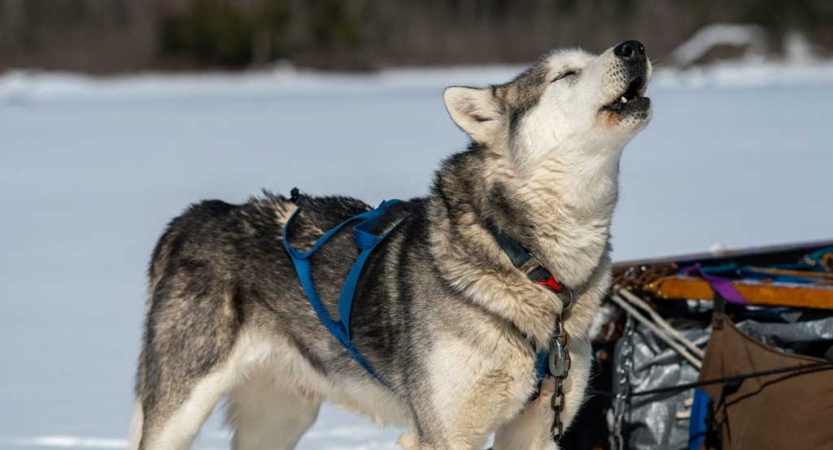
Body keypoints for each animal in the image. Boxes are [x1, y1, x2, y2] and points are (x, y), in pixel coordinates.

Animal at [132, 40, 648, 448]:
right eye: (566, 74)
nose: (633, 47)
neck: (525, 259)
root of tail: (198, 215)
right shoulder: (442, 433)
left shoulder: (537, 428)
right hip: (181, 410)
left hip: (279, 417)